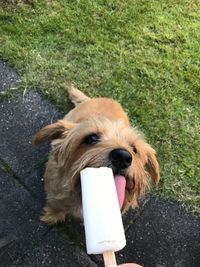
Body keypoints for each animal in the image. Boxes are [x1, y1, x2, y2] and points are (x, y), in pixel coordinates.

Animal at [33, 87, 160, 225]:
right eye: (92, 138)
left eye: (134, 149)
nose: (122, 157)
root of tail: (107, 99)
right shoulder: (54, 192)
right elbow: (56, 205)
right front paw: (51, 216)